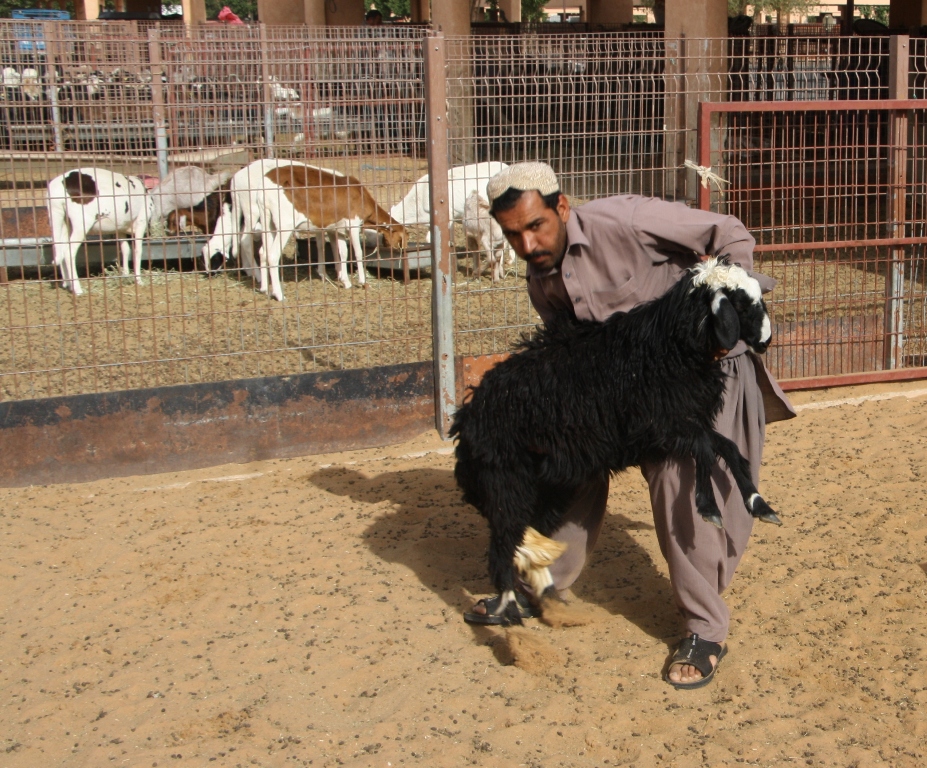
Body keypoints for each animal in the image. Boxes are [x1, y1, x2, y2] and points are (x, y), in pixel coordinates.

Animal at [46, 166, 152, 296]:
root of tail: (58, 186)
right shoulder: (141, 222)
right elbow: (138, 251)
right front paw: (139, 280)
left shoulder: (120, 228)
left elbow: (125, 249)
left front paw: (126, 275)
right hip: (81, 223)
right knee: (69, 252)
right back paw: (78, 289)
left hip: (61, 220)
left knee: (61, 248)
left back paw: (68, 284)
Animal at [454, 256, 784, 624]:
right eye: (739, 304)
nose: (767, 341)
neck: (667, 344)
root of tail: (468, 412)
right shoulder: (661, 426)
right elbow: (706, 451)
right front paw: (708, 507)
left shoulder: (685, 420)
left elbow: (728, 448)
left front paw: (758, 503)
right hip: (504, 479)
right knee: (503, 544)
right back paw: (505, 607)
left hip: (545, 487)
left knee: (522, 536)